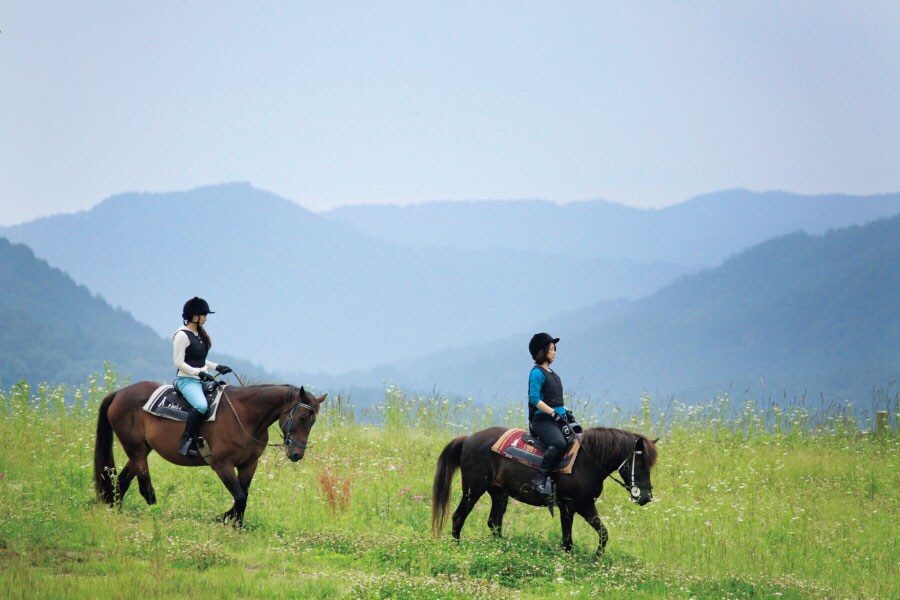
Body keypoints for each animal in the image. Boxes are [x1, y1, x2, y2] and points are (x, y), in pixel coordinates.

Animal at [90, 380, 324, 524]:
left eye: (313, 421)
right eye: (302, 417)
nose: (297, 454)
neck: (245, 416)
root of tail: (119, 393)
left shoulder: (249, 464)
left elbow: (243, 497)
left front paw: (235, 525)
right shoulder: (221, 465)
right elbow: (240, 497)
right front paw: (223, 518)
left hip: (141, 450)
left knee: (121, 482)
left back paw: (115, 510)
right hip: (137, 450)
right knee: (145, 488)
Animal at [432, 424, 656, 556]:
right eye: (640, 464)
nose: (646, 497)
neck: (586, 460)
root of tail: (468, 439)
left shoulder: (586, 504)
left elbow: (603, 533)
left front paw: (596, 560)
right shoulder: (567, 505)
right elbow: (567, 540)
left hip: (499, 493)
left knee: (494, 522)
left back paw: (503, 550)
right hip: (473, 488)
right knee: (458, 516)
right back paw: (456, 550)